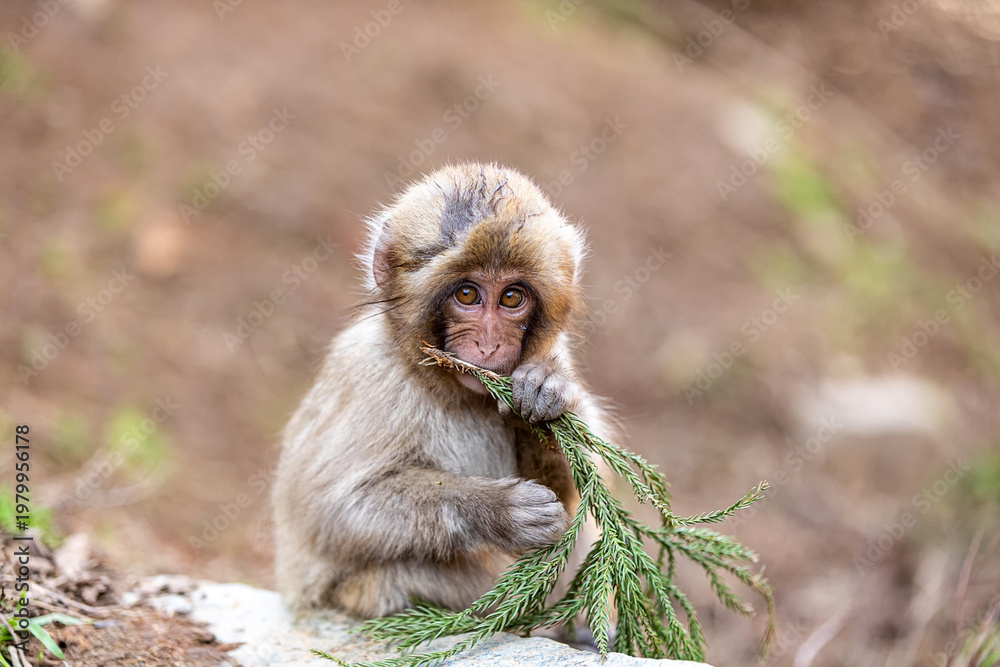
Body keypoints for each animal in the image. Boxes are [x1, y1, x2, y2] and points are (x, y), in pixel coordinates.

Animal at [272, 162, 614, 619]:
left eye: (512, 298)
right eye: (467, 294)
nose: (488, 344)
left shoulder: (554, 349)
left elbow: (573, 492)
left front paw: (546, 391)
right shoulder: (368, 373)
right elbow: (332, 511)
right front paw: (495, 510)